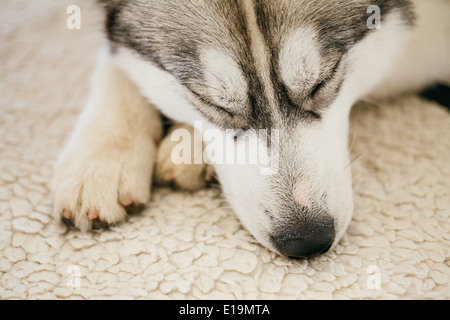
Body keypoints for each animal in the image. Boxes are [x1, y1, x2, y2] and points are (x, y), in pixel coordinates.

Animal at [52, 0, 450, 258]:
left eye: (323, 80)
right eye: (213, 102)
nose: (307, 240)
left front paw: (187, 148)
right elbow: (116, 60)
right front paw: (101, 158)